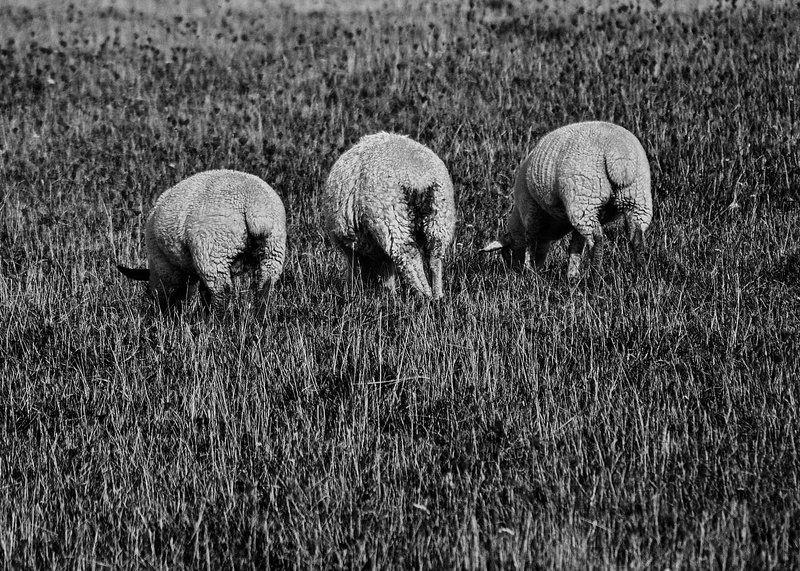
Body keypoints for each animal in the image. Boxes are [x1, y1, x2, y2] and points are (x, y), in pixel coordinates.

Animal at [117, 169, 287, 310]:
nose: (162, 311)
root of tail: (254, 206)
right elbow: (204, 292)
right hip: (272, 250)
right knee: (264, 287)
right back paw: (259, 319)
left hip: (214, 251)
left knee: (222, 292)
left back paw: (216, 323)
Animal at [322, 132, 456, 299]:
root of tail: (418, 176)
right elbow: (388, 270)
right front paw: (389, 293)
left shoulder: (350, 247)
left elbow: (355, 269)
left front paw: (352, 291)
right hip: (439, 216)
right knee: (435, 256)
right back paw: (437, 295)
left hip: (392, 217)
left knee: (409, 256)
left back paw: (425, 295)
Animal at [481, 121, 652, 279]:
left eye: (506, 253)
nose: (514, 273)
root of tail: (620, 156)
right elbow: (575, 246)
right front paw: (571, 275)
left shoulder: (531, 213)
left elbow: (531, 243)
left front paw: (529, 272)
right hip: (636, 197)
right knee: (636, 237)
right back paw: (641, 274)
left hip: (585, 198)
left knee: (597, 240)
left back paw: (595, 278)